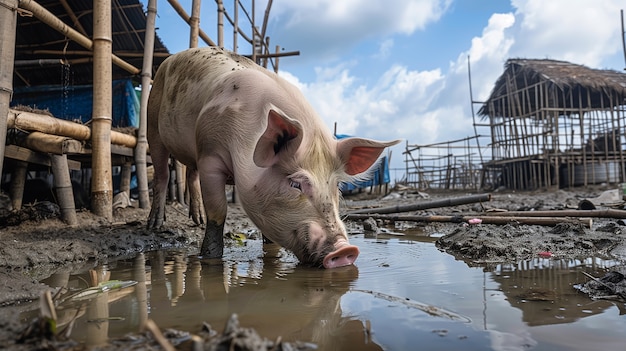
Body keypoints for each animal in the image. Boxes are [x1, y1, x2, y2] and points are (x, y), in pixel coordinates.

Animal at [146, 47, 398, 270]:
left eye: (336, 186)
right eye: (296, 184)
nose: (345, 249)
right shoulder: (210, 154)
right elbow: (218, 211)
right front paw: (209, 257)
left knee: (190, 172)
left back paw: (196, 219)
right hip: (152, 122)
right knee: (162, 173)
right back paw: (155, 224)